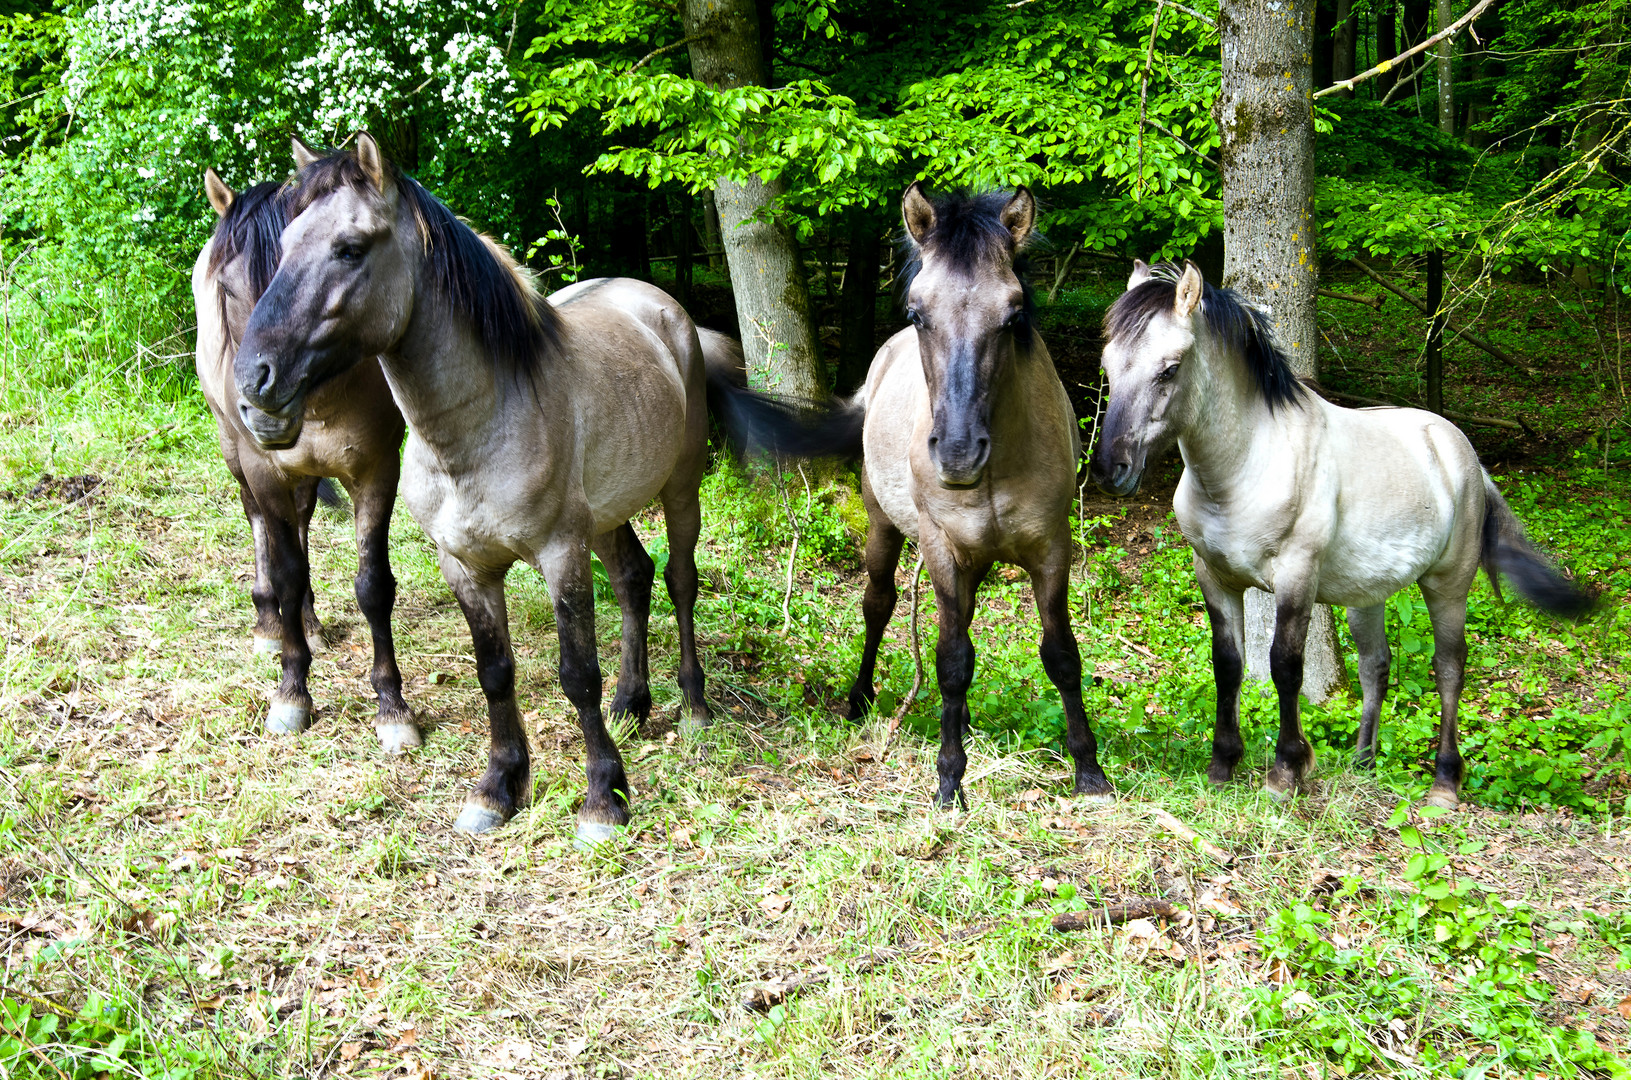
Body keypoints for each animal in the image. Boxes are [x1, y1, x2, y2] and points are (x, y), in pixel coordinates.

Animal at [191, 160, 420, 756]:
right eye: (228, 291)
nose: (261, 402)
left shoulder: (377, 470)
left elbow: (373, 586)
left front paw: (392, 707)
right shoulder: (263, 470)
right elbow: (286, 570)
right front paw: (292, 691)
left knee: (300, 522)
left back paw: (310, 623)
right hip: (235, 452)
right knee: (263, 529)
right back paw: (272, 624)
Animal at [231, 137, 714, 848]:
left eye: (350, 248)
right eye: (286, 242)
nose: (253, 382)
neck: (482, 424)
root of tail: (658, 305)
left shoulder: (559, 554)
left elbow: (577, 675)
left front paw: (604, 799)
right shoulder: (466, 566)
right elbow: (495, 672)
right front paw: (498, 788)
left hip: (678, 490)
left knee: (680, 580)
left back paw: (694, 707)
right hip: (606, 516)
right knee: (634, 576)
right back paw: (633, 703)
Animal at [717, 185, 1115, 812]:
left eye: (1013, 315)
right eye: (916, 312)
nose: (957, 452)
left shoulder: (1051, 548)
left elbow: (1061, 655)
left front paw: (1088, 770)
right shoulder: (941, 548)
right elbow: (950, 660)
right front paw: (950, 779)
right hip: (886, 528)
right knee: (878, 606)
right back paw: (860, 699)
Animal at [1089, 257, 1585, 809]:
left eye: (1170, 369)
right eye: (1108, 367)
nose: (1111, 468)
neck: (1243, 467)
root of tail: (1464, 453)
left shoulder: (1296, 577)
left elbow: (1285, 666)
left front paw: (1287, 770)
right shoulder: (1215, 577)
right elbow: (1228, 665)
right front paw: (1222, 765)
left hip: (1448, 584)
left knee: (1450, 667)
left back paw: (1443, 783)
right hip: (1366, 595)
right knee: (1376, 666)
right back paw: (1363, 763)